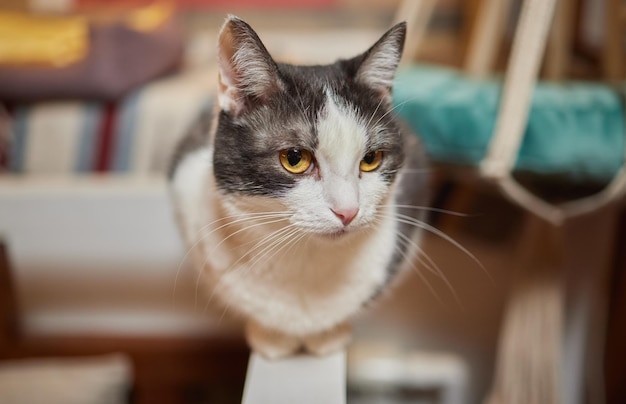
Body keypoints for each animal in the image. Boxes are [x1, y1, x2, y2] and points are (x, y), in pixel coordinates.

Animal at [168, 15, 426, 358]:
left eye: (371, 159)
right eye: (294, 158)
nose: (348, 211)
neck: (305, 256)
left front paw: (329, 335)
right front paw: (271, 337)